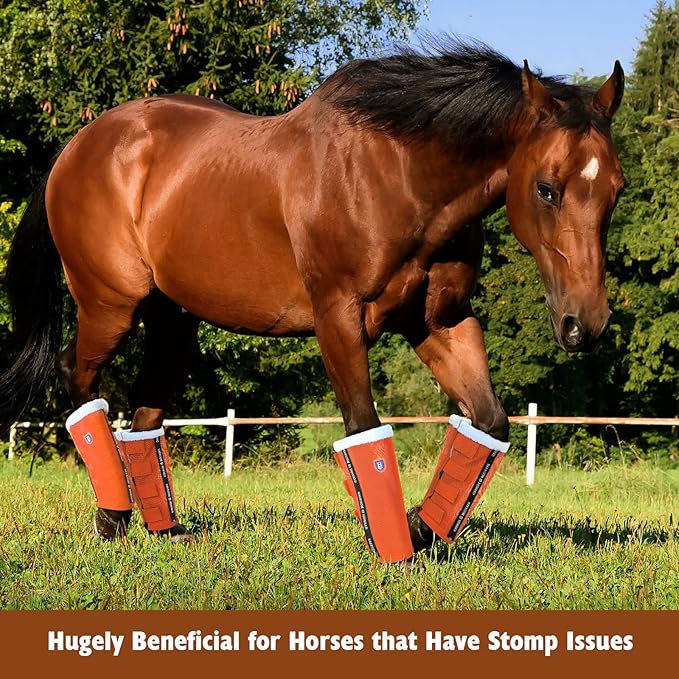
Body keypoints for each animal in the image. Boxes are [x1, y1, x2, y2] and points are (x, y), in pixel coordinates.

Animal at [0, 40, 625, 560]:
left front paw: (422, 526)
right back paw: (112, 516)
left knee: (146, 414)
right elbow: (365, 430)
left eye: (616, 189)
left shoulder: (440, 322)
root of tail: (76, 148)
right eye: (546, 188)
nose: (585, 324)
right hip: (110, 306)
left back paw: (166, 530)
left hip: (172, 320)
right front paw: (395, 551)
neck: (397, 175)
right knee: (78, 382)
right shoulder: (338, 318)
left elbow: (489, 422)